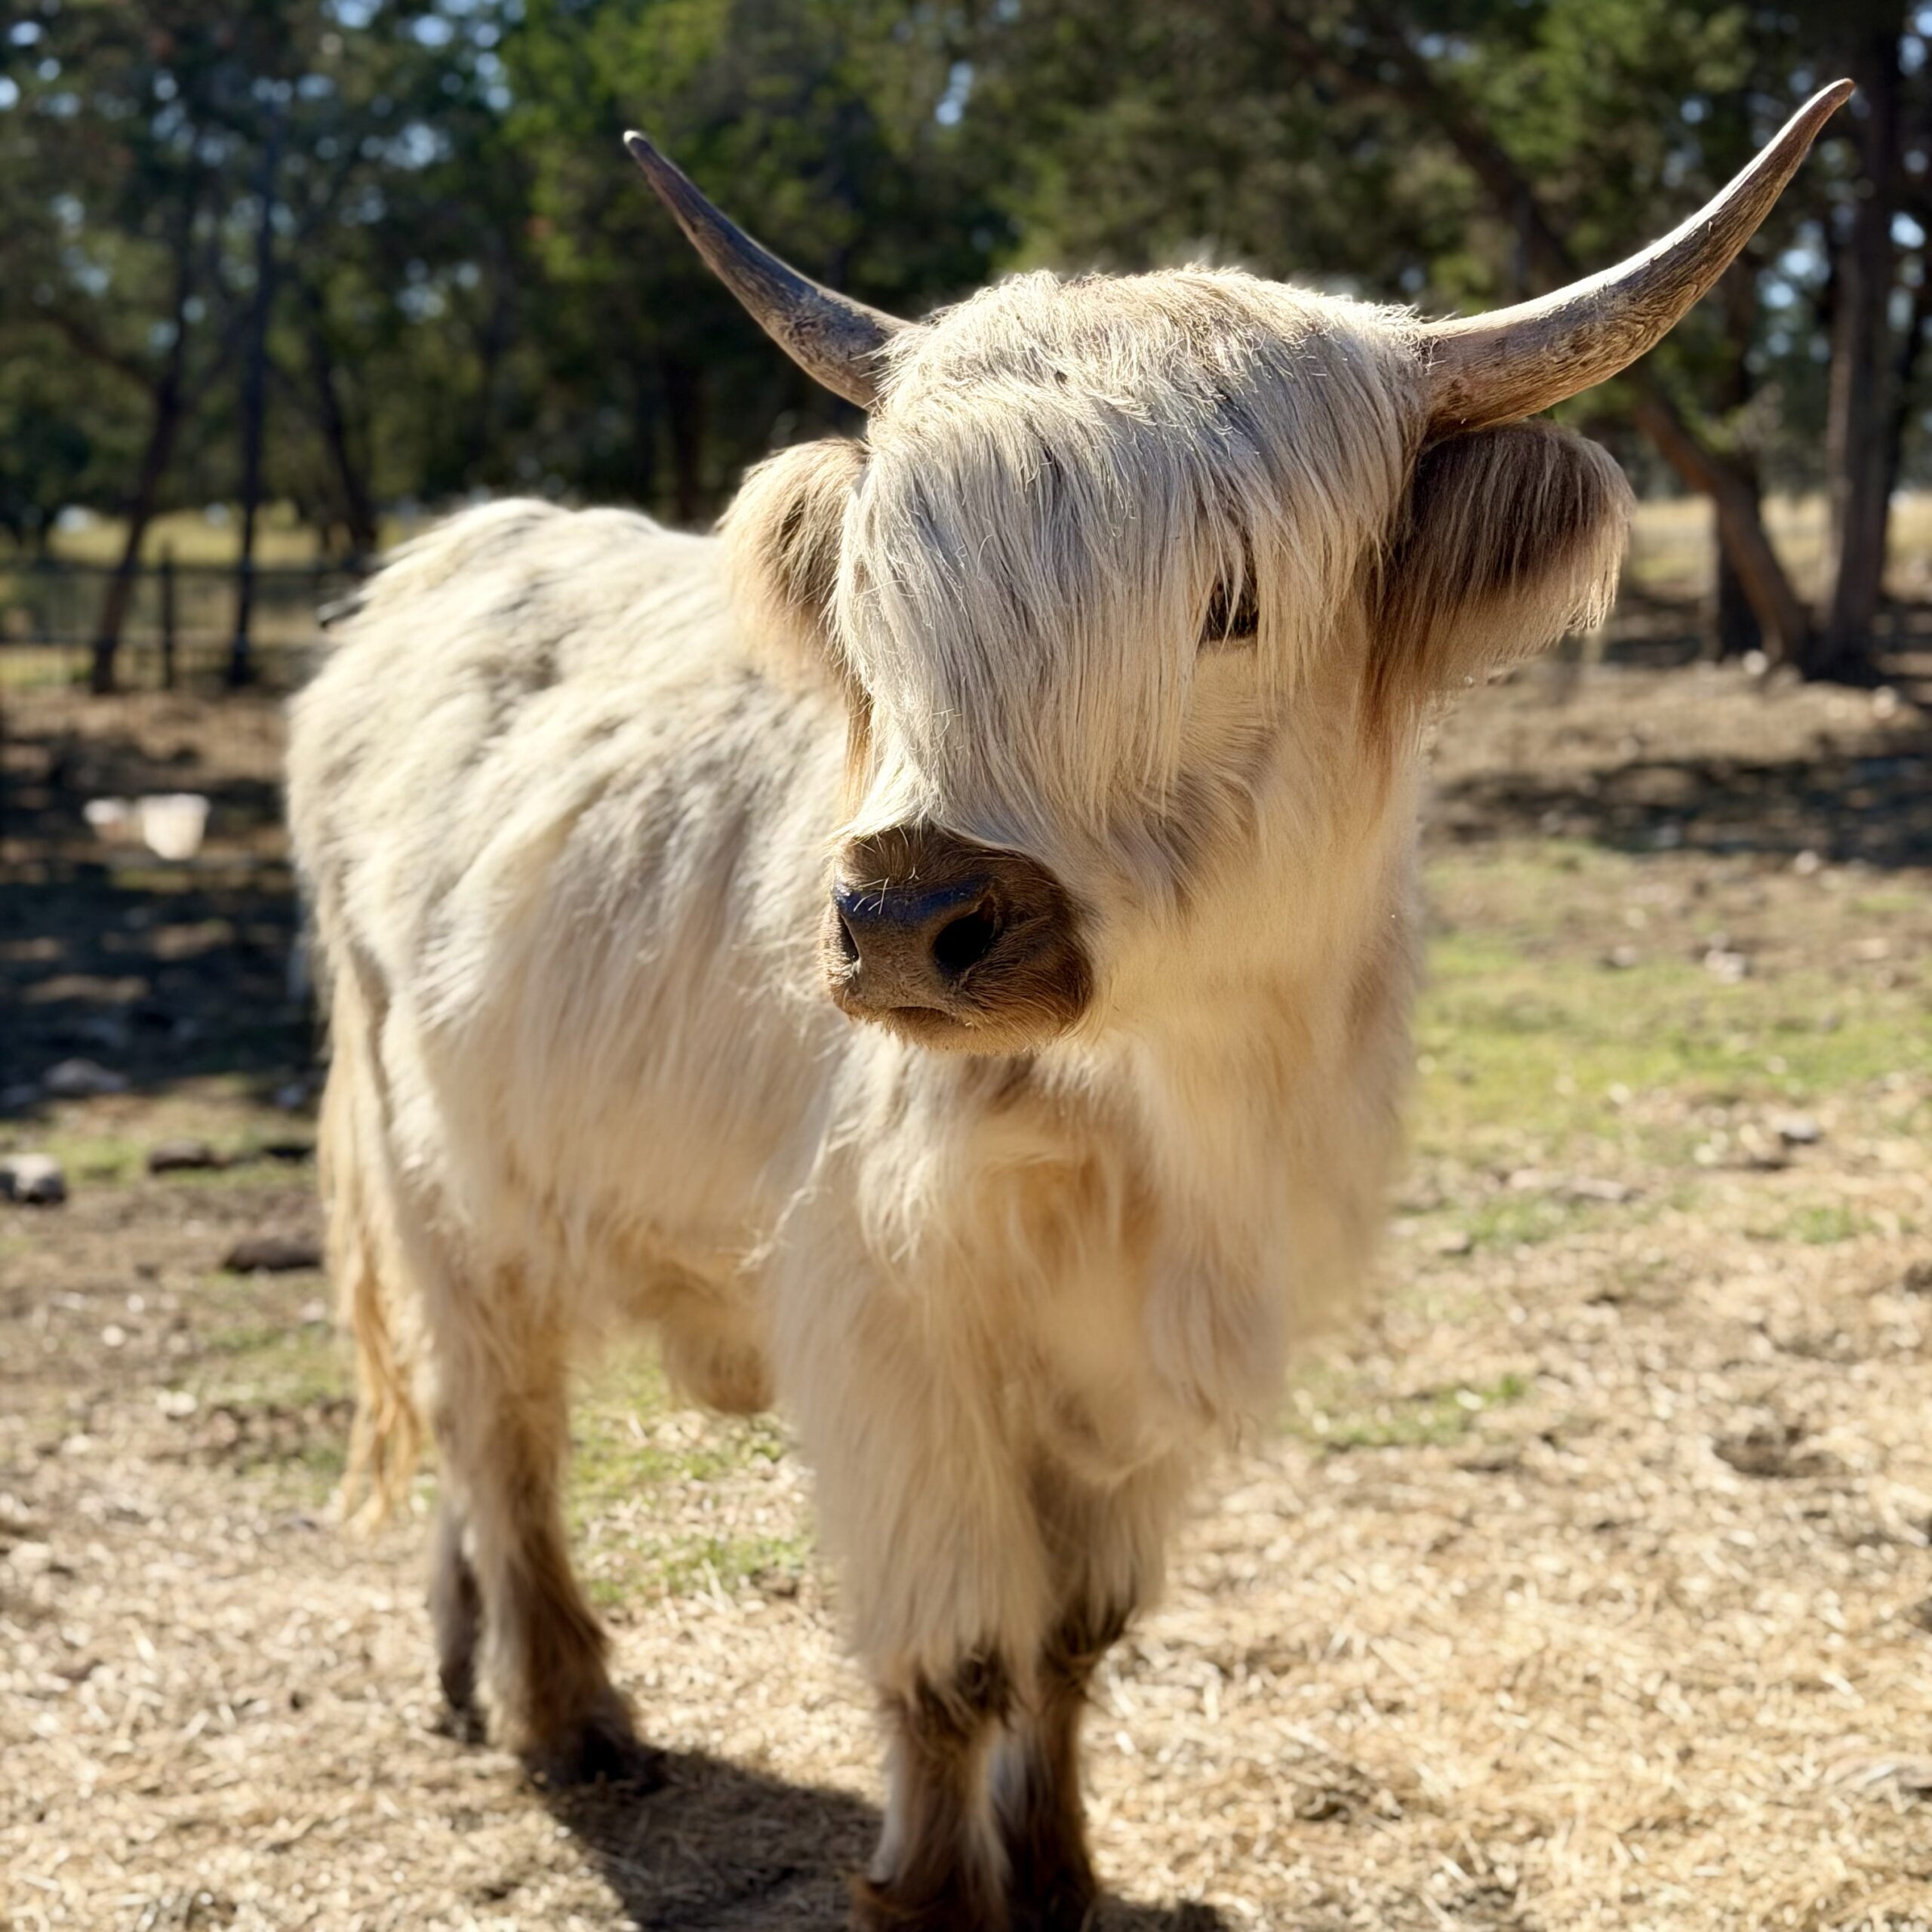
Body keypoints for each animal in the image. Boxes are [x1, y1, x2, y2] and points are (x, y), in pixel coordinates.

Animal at [287, 83, 1848, 1931]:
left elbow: (1075, 1640)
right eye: (879, 591)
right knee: (502, 1434)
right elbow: (958, 1657)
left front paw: (1059, 1872)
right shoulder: (889, 1329)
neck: (1164, 1096)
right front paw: (930, 1889)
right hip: (444, 1183)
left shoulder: (1142, 1352)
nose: (906, 918)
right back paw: (570, 1711)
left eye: (1232, 598)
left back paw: (469, 1675)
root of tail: (454, 552)